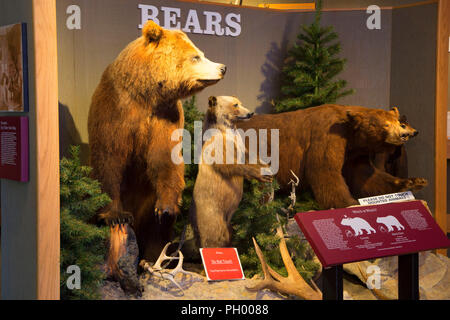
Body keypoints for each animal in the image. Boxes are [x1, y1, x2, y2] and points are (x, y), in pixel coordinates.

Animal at [88, 21, 227, 292]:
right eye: (196, 56)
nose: (222, 67)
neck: (145, 94)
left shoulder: (165, 116)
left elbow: (166, 160)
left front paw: (165, 209)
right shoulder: (116, 111)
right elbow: (109, 159)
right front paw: (115, 215)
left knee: (157, 234)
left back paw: (151, 260)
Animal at [190, 96, 270, 249]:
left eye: (239, 102)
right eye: (235, 105)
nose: (250, 113)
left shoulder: (240, 144)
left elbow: (249, 154)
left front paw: (266, 167)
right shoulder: (217, 147)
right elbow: (229, 164)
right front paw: (261, 175)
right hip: (212, 214)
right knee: (215, 236)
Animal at [237, 105, 428, 210]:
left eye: (399, 123)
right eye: (386, 125)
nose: (404, 134)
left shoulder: (354, 153)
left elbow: (366, 176)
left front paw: (413, 182)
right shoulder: (327, 136)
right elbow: (325, 173)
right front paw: (351, 203)